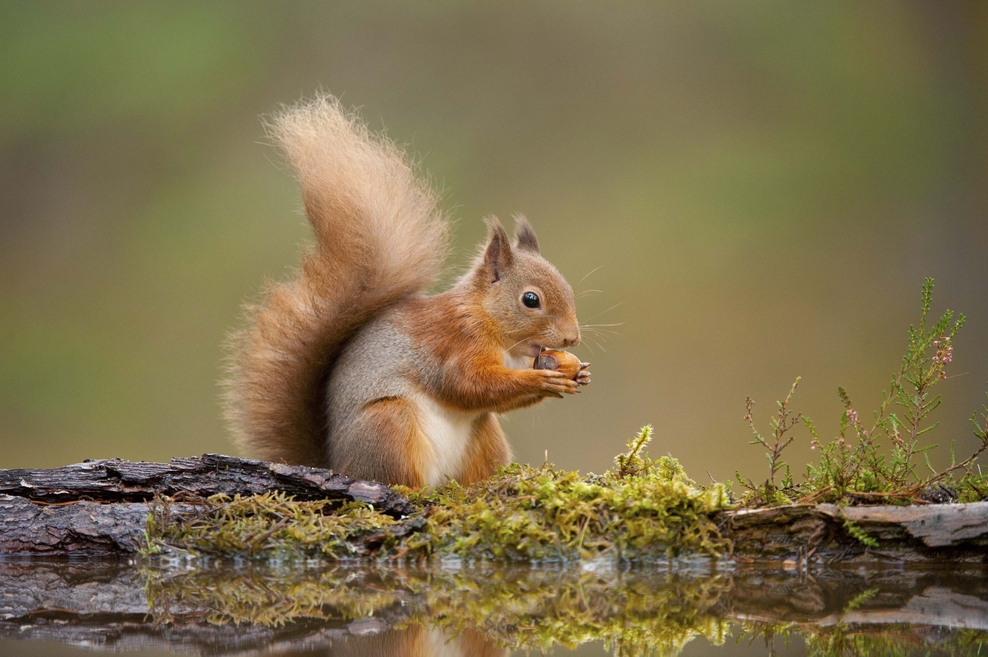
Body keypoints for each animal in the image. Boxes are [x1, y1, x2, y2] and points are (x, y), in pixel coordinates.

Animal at [224, 96, 588, 486]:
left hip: (484, 435)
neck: (488, 322)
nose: (572, 338)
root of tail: (339, 465)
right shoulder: (452, 344)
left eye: (567, 287)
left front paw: (579, 373)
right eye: (530, 300)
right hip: (389, 425)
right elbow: (468, 385)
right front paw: (543, 379)